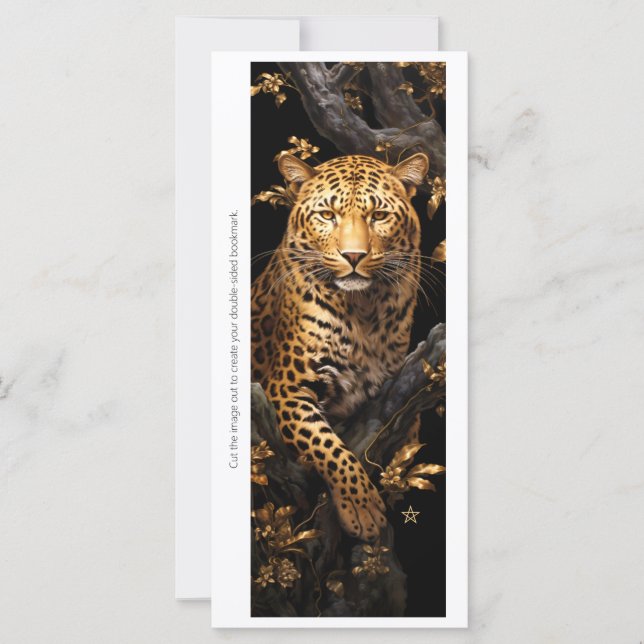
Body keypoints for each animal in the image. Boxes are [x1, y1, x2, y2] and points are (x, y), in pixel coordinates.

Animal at [251, 151, 429, 541]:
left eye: (379, 216)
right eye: (327, 215)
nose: (353, 256)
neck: (363, 309)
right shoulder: (285, 388)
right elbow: (327, 445)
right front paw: (363, 509)